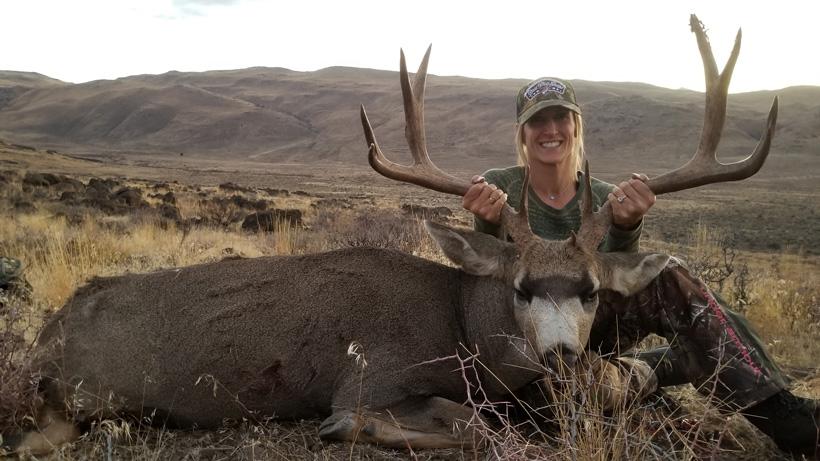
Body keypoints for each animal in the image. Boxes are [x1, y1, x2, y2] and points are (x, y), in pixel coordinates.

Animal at [4, 15, 776, 455]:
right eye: (521, 287)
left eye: (590, 291)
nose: (559, 356)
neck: (458, 325)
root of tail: (44, 336)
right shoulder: (369, 374)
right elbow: (462, 424)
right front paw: (347, 430)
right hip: (75, 401)